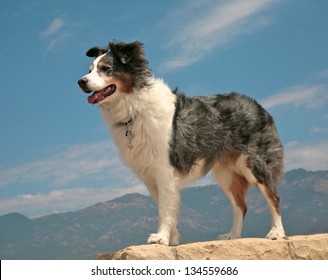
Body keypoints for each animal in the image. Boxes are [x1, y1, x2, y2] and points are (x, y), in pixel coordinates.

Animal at [78, 39, 286, 245]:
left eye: (106, 69)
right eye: (90, 69)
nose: (81, 82)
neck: (134, 107)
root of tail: (258, 105)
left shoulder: (164, 170)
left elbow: (164, 209)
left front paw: (160, 237)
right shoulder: (150, 175)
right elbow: (167, 208)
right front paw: (172, 239)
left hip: (253, 164)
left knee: (273, 197)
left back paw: (276, 232)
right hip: (226, 174)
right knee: (241, 207)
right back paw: (232, 236)